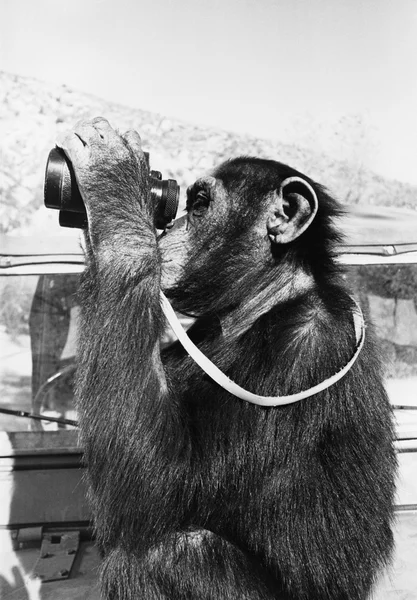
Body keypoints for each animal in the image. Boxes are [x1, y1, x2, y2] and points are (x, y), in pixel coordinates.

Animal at [57, 118, 394, 600]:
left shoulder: (308, 347)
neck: (261, 301)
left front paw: (111, 178)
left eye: (199, 205)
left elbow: (164, 487)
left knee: (166, 554)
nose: (170, 226)